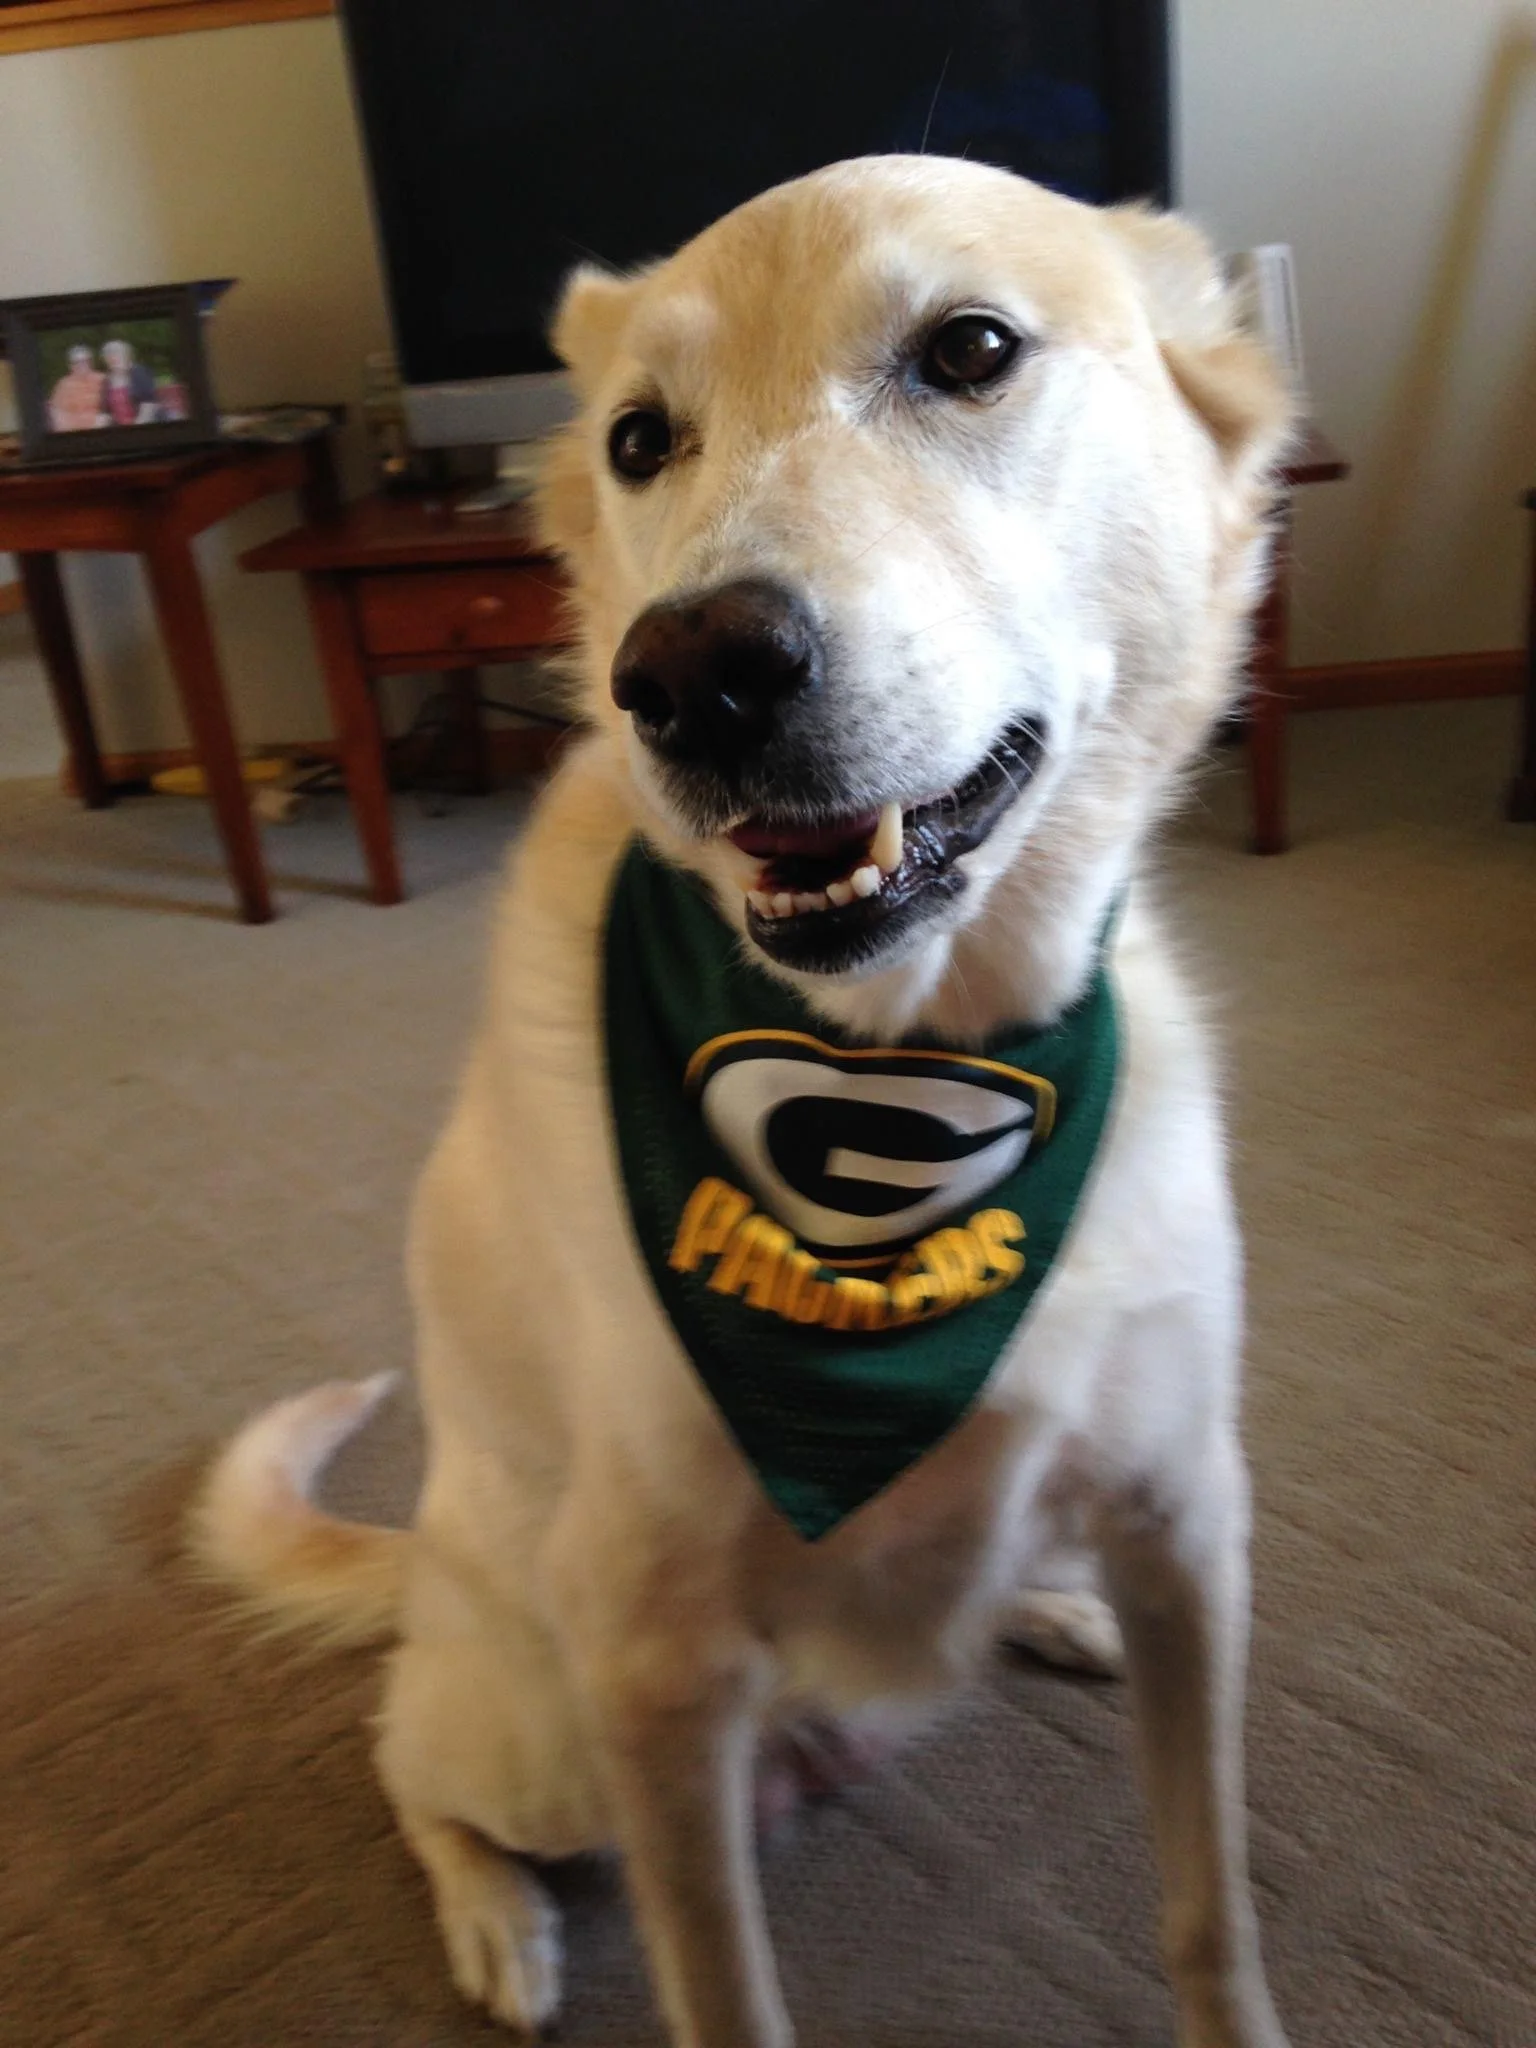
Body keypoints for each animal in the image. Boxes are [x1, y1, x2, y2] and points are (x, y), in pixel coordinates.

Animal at [194, 156, 1297, 2047]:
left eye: (970, 349)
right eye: (642, 439)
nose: (690, 676)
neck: (911, 1053)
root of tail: (431, 1574)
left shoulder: (1187, 1527)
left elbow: (1211, 1905)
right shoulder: (655, 1668)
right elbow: (724, 1989)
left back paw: (1046, 1605)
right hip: (546, 1720)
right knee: (407, 1763)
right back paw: (497, 1921)